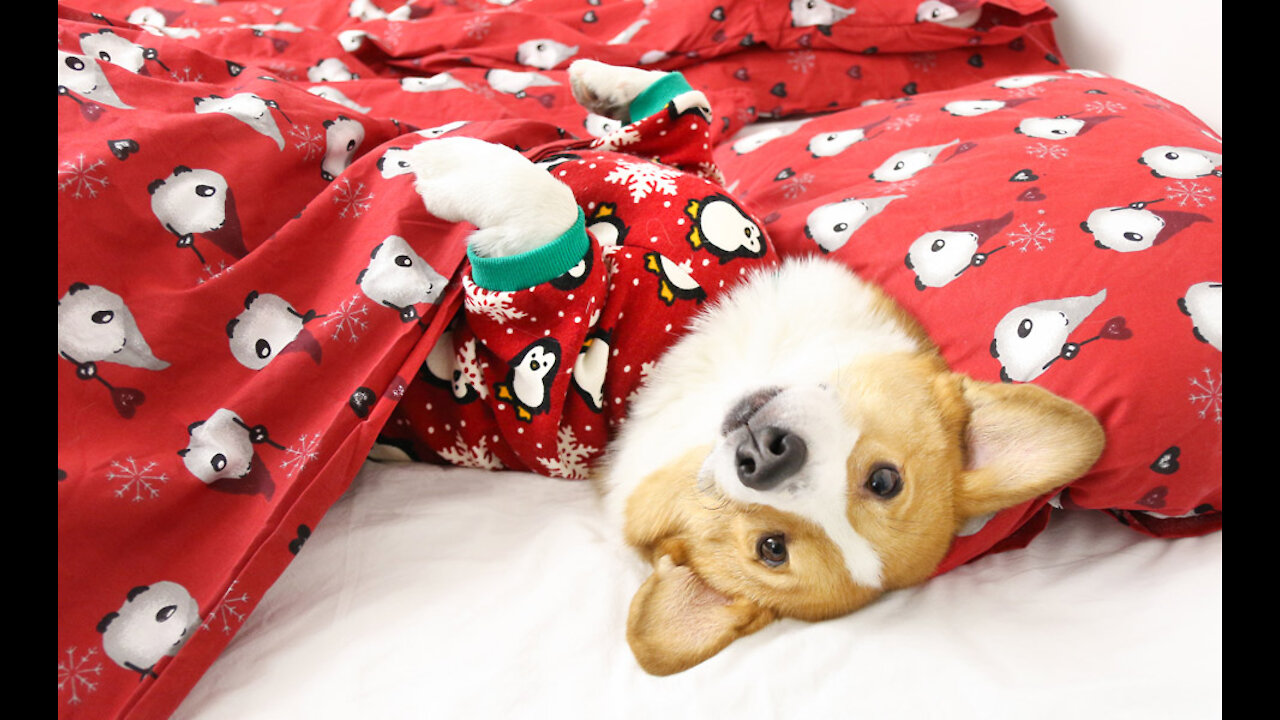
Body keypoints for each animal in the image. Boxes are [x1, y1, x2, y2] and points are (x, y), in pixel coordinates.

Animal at [389, 60, 1100, 671]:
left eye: (771, 549)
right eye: (885, 480)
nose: (767, 457)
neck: (692, 353)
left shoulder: (539, 371)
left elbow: (547, 222)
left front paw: (446, 161)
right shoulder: (687, 160)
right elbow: (682, 108)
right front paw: (598, 84)